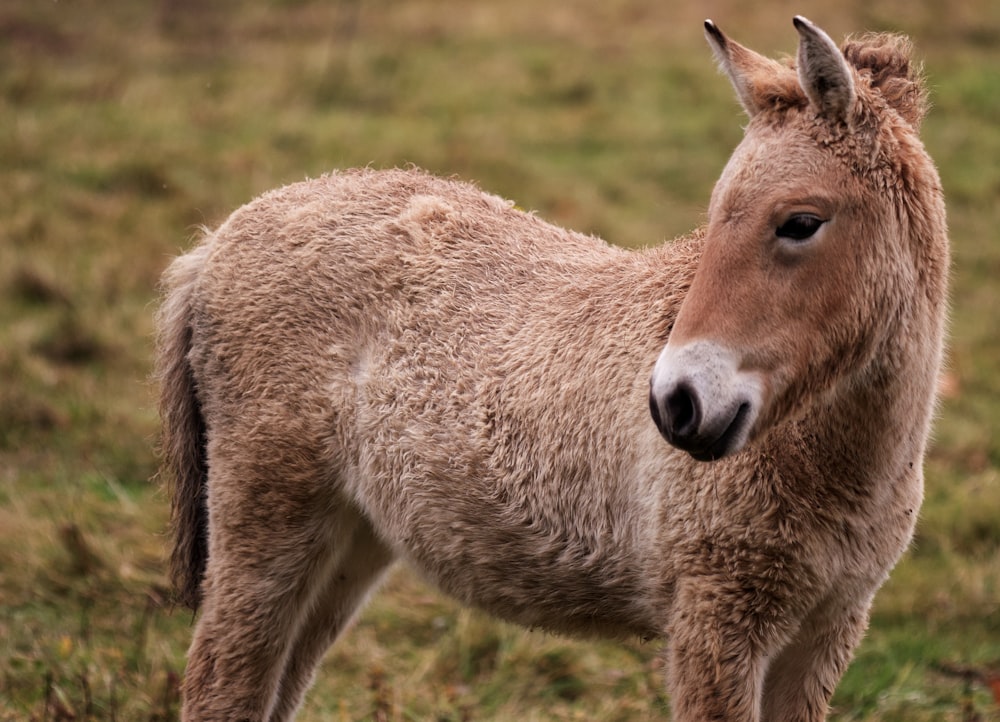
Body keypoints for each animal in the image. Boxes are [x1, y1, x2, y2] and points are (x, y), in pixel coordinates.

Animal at [154, 16, 944, 720]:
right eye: (715, 214)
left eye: (801, 223)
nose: (677, 404)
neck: (836, 463)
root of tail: (218, 240)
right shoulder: (716, 625)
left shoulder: (825, 630)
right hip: (267, 527)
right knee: (219, 684)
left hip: (349, 544)